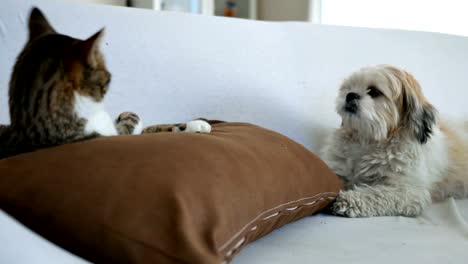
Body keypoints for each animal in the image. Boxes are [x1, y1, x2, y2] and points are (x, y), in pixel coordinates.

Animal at [322, 65, 468, 218]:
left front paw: (348, 200)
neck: (368, 140)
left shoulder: (408, 191)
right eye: (348, 87)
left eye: (374, 91)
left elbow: (377, 194)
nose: (350, 95)